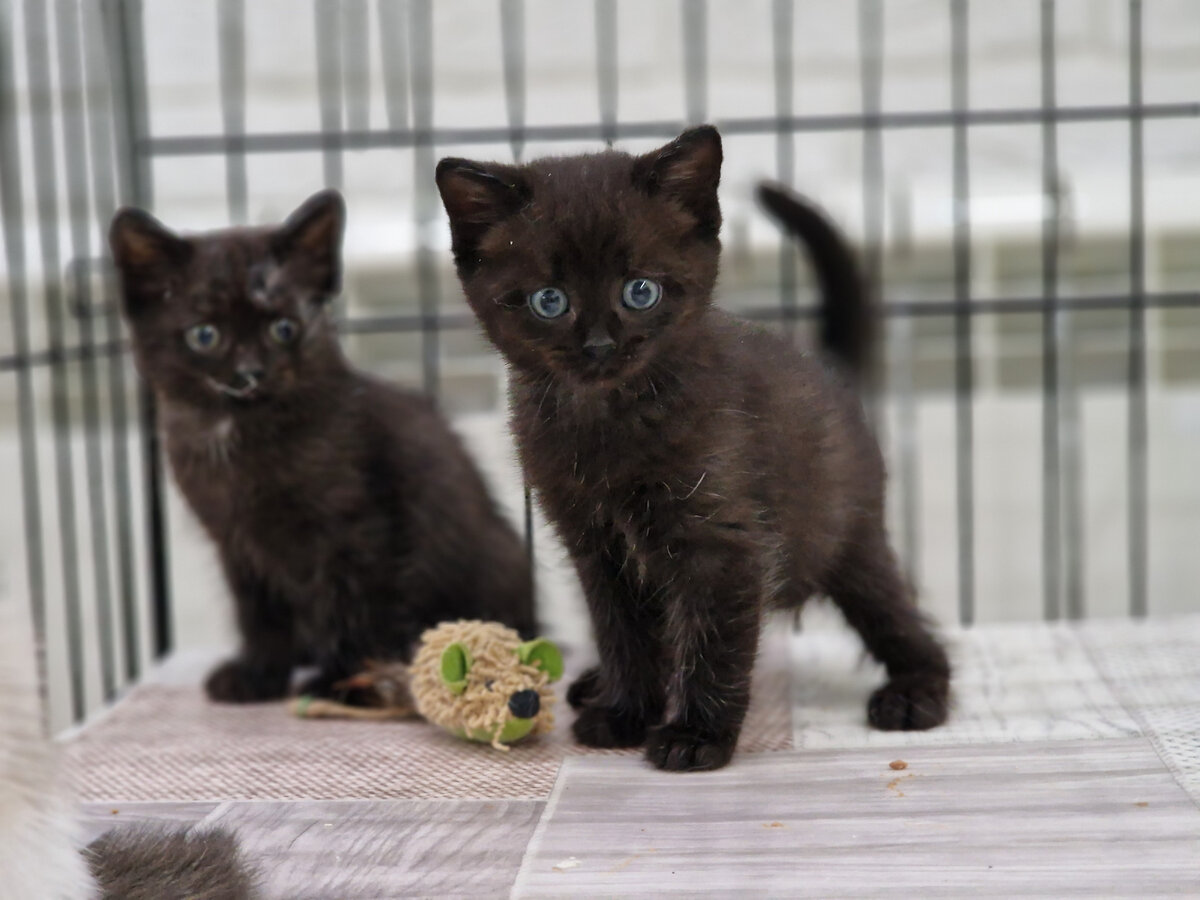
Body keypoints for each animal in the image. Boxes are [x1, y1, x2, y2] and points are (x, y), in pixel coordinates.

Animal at [111, 192, 535, 705]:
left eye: (284, 328)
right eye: (204, 335)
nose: (249, 374)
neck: (240, 433)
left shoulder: (357, 529)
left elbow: (352, 602)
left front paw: (344, 680)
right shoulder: (237, 543)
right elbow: (260, 614)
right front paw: (257, 675)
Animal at [436, 128, 950, 777]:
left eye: (640, 291)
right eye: (548, 301)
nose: (600, 345)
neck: (608, 420)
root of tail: (831, 372)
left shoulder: (723, 542)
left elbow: (712, 642)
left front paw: (695, 735)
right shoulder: (595, 547)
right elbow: (622, 632)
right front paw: (625, 711)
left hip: (847, 533)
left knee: (896, 612)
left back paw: (916, 691)